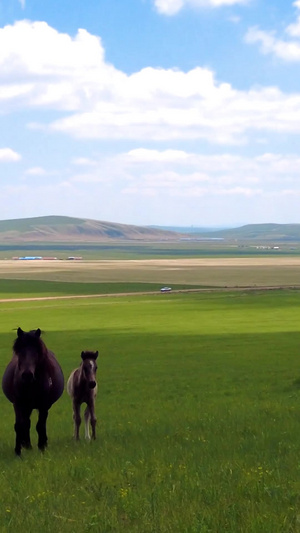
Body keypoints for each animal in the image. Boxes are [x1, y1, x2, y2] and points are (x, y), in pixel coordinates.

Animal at [1, 326, 63, 456]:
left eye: (36, 352)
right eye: (20, 351)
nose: (27, 375)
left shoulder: (44, 405)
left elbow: (40, 425)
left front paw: (42, 447)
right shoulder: (18, 404)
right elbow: (19, 425)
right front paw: (18, 451)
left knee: (40, 423)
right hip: (26, 406)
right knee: (26, 423)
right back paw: (27, 445)